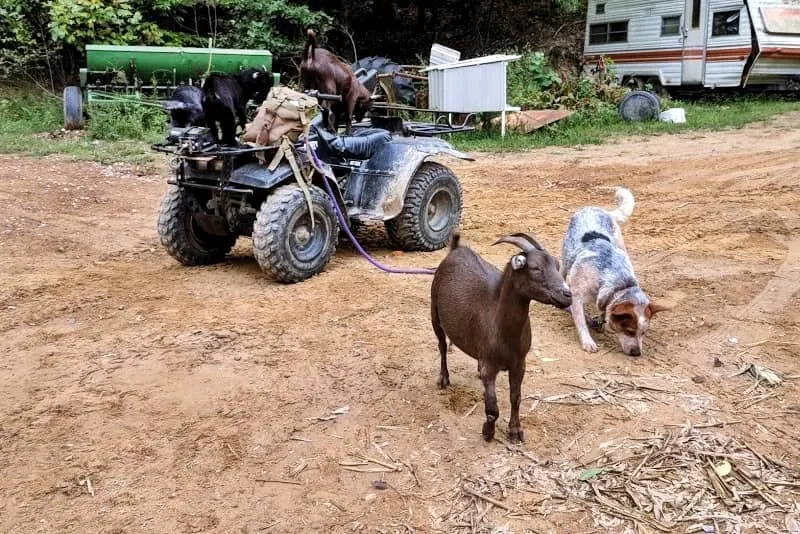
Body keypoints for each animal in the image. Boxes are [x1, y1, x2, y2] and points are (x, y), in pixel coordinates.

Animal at [432, 232, 568, 446]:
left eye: (556, 265)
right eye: (535, 268)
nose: (567, 295)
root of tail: (456, 249)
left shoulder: (519, 363)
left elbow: (516, 397)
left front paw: (515, 431)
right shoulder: (490, 366)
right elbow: (492, 408)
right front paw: (488, 431)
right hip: (434, 311)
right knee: (442, 346)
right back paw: (443, 378)